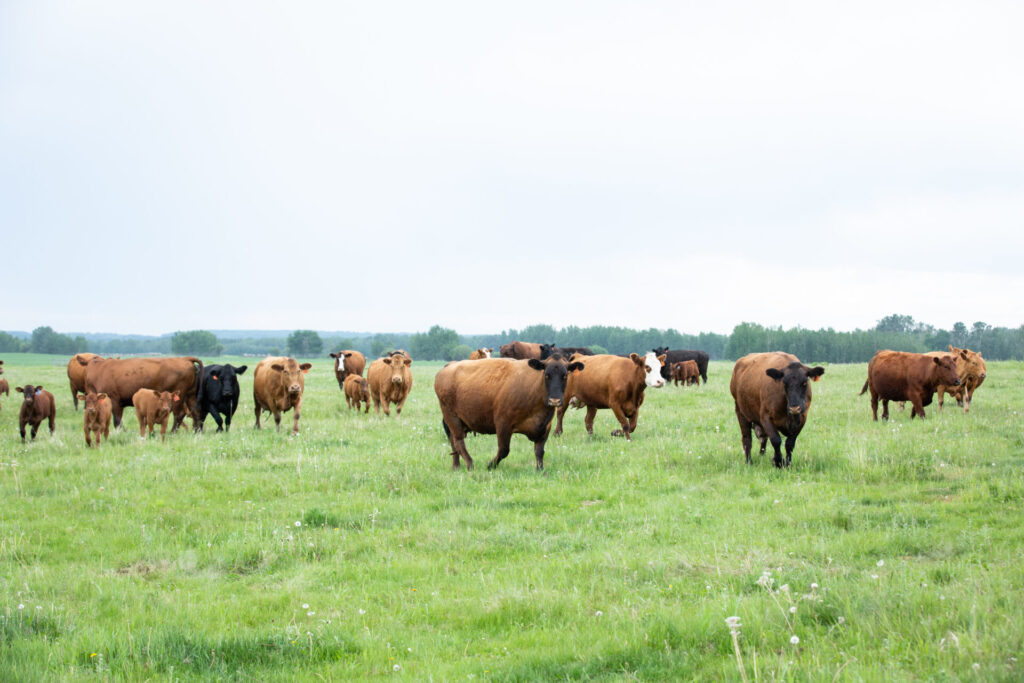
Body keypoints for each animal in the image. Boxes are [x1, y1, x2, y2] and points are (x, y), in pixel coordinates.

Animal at [434, 355, 585, 470]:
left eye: (565, 375)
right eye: (547, 375)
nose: (555, 400)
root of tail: (450, 365)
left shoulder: (545, 427)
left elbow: (539, 451)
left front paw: (540, 470)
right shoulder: (503, 424)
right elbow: (504, 450)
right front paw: (490, 465)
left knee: (453, 441)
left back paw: (456, 466)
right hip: (451, 416)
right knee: (459, 441)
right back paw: (470, 464)